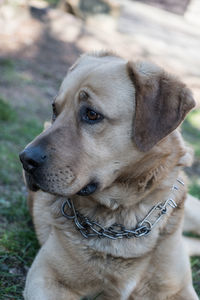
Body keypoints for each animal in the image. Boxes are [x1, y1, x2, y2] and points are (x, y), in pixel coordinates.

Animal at [19, 52, 200, 298]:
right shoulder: (47, 277)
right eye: (55, 109)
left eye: (92, 114)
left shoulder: (178, 288)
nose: (25, 159)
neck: (124, 221)